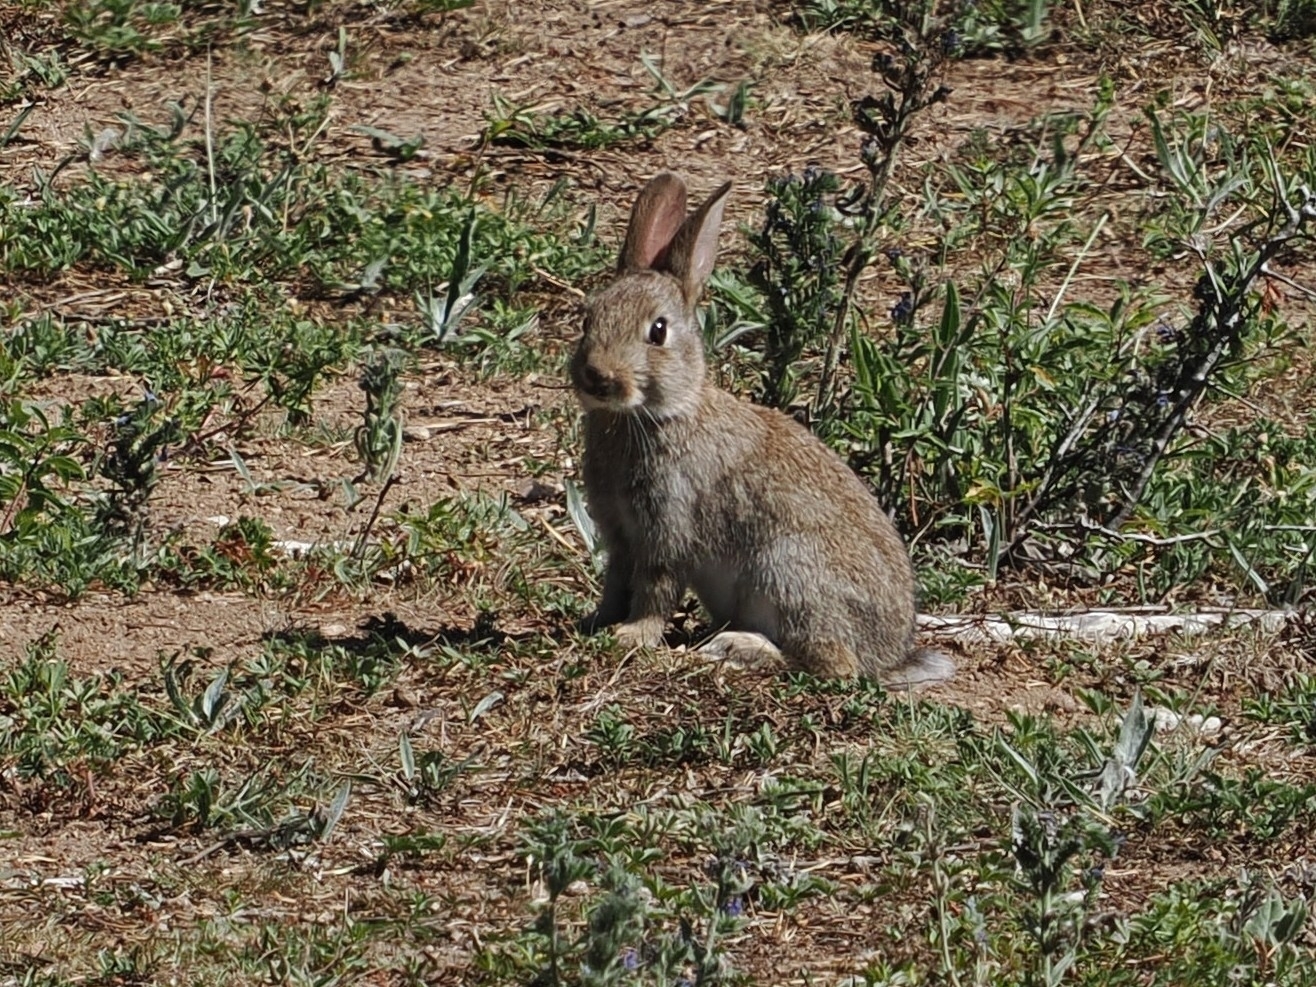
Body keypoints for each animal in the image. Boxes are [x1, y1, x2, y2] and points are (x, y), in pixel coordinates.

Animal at [570, 172, 953, 687]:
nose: (597, 376)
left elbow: (657, 588)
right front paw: (595, 623)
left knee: (835, 666)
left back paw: (735, 647)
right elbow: (614, 583)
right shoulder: (619, 534)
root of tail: (890, 656)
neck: (658, 415)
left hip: (788, 573)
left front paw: (632, 636)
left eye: (658, 331)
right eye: (588, 318)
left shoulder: (669, 528)